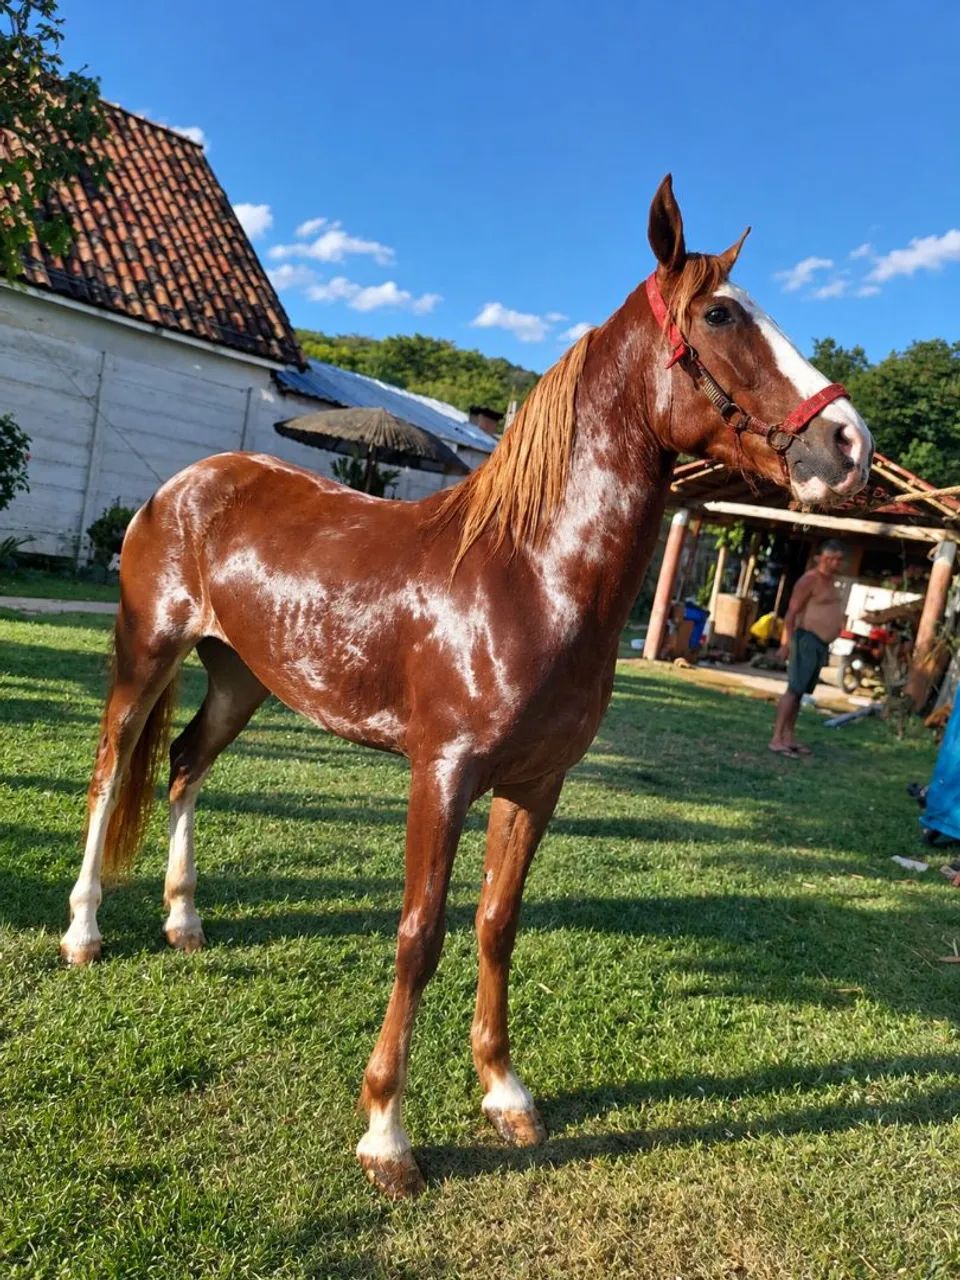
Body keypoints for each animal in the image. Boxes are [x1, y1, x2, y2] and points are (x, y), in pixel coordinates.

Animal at [60, 176, 874, 1198]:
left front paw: (504, 1093)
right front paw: (386, 1134)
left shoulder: (537, 785)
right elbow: (420, 934)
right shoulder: (440, 776)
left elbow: (496, 924)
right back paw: (84, 932)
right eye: (722, 315)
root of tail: (185, 484)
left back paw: (184, 920)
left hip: (243, 684)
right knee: (109, 771)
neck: (526, 575)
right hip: (145, 657)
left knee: (181, 769)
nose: (851, 445)